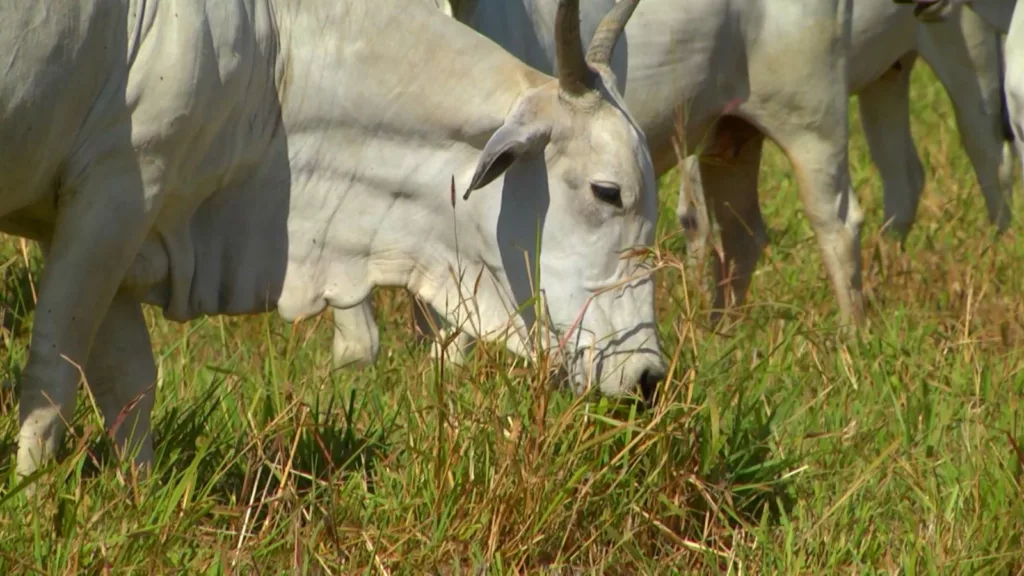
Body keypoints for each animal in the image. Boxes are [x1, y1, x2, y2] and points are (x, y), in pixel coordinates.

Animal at [0, 0, 663, 479]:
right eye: (608, 191)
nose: (649, 377)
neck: (277, 57)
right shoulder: (116, 190)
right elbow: (51, 383)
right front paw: (33, 501)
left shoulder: (115, 221)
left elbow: (129, 388)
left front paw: (136, 499)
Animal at [331, 0, 1011, 366]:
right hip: (741, 129)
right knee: (745, 233)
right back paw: (722, 331)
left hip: (825, 105)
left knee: (859, 210)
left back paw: (856, 328)